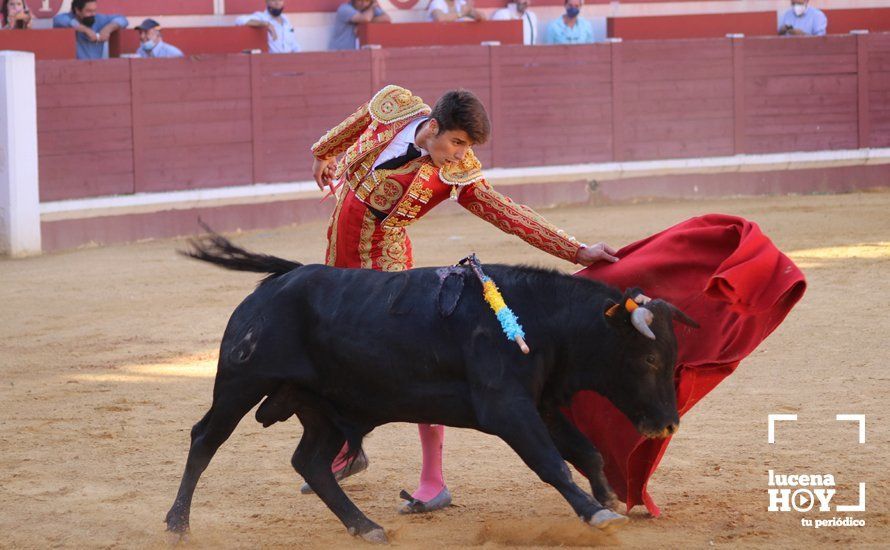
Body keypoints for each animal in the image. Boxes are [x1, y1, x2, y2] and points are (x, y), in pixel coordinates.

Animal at [165, 234, 692, 544]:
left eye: (673, 359)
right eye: (649, 359)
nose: (668, 425)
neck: (541, 319)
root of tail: (271, 288)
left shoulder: (539, 404)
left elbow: (585, 451)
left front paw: (607, 499)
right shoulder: (507, 408)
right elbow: (552, 462)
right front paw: (594, 512)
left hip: (323, 406)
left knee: (310, 462)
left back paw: (366, 526)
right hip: (240, 383)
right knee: (205, 438)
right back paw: (177, 524)